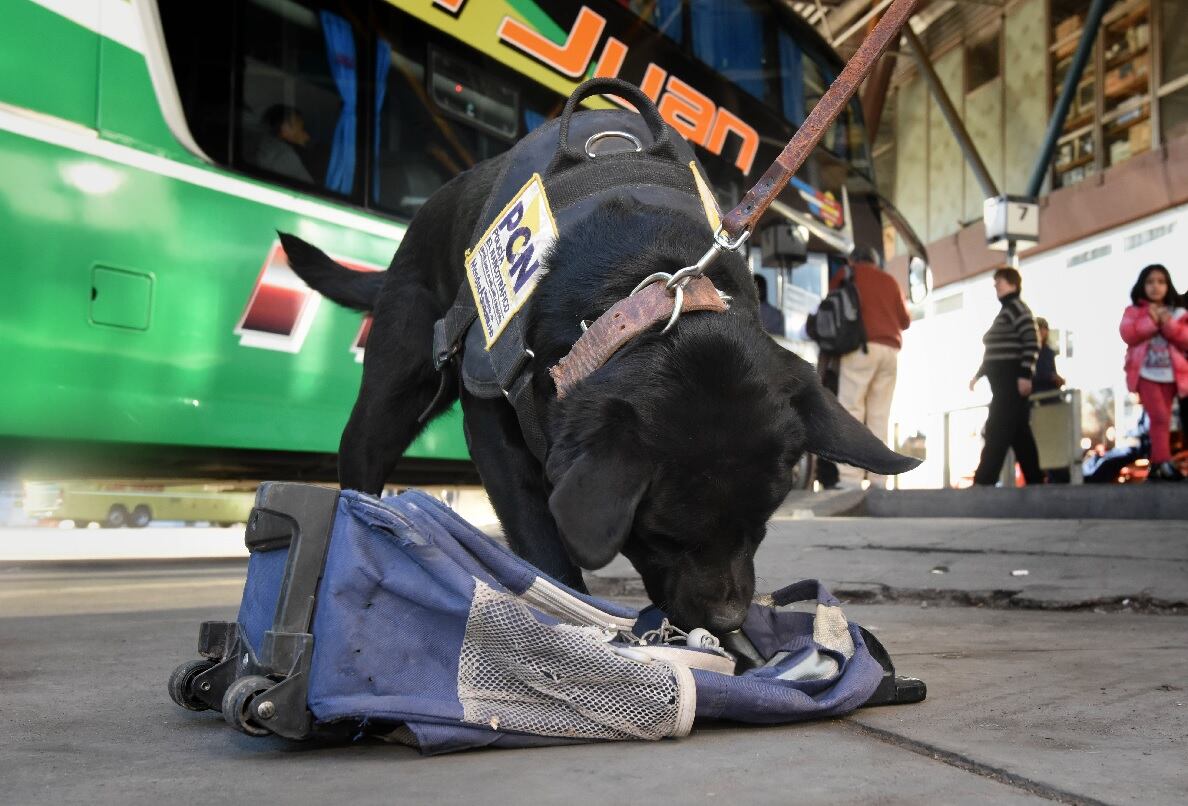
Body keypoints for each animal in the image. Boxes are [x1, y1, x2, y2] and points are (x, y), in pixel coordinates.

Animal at [280, 89, 917, 632]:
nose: (729, 622)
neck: (643, 290)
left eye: (760, 528)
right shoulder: (492, 429)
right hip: (391, 390)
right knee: (363, 461)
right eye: (660, 536)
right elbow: (544, 546)